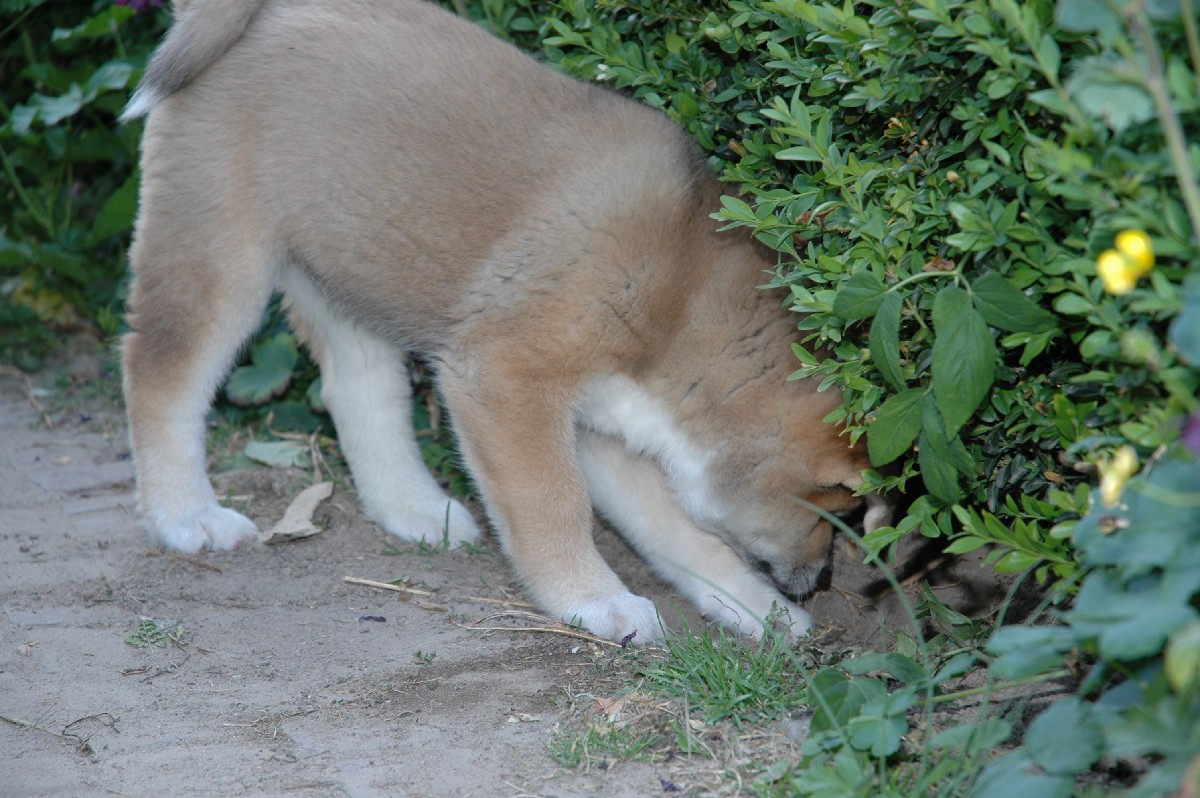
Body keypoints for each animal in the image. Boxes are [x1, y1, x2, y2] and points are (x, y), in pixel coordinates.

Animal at [120, 0, 888, 643]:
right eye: (840, 512)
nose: (825, 580)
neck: (679, 296)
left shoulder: (604, 431)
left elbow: (683, 537)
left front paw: (757, 610)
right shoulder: (510, 379)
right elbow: (555, 506)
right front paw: (595, 602)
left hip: (350, 271)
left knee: (359, 393)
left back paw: (417, 510)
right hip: (218, 257)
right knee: (159, 376)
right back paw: (186, 516)